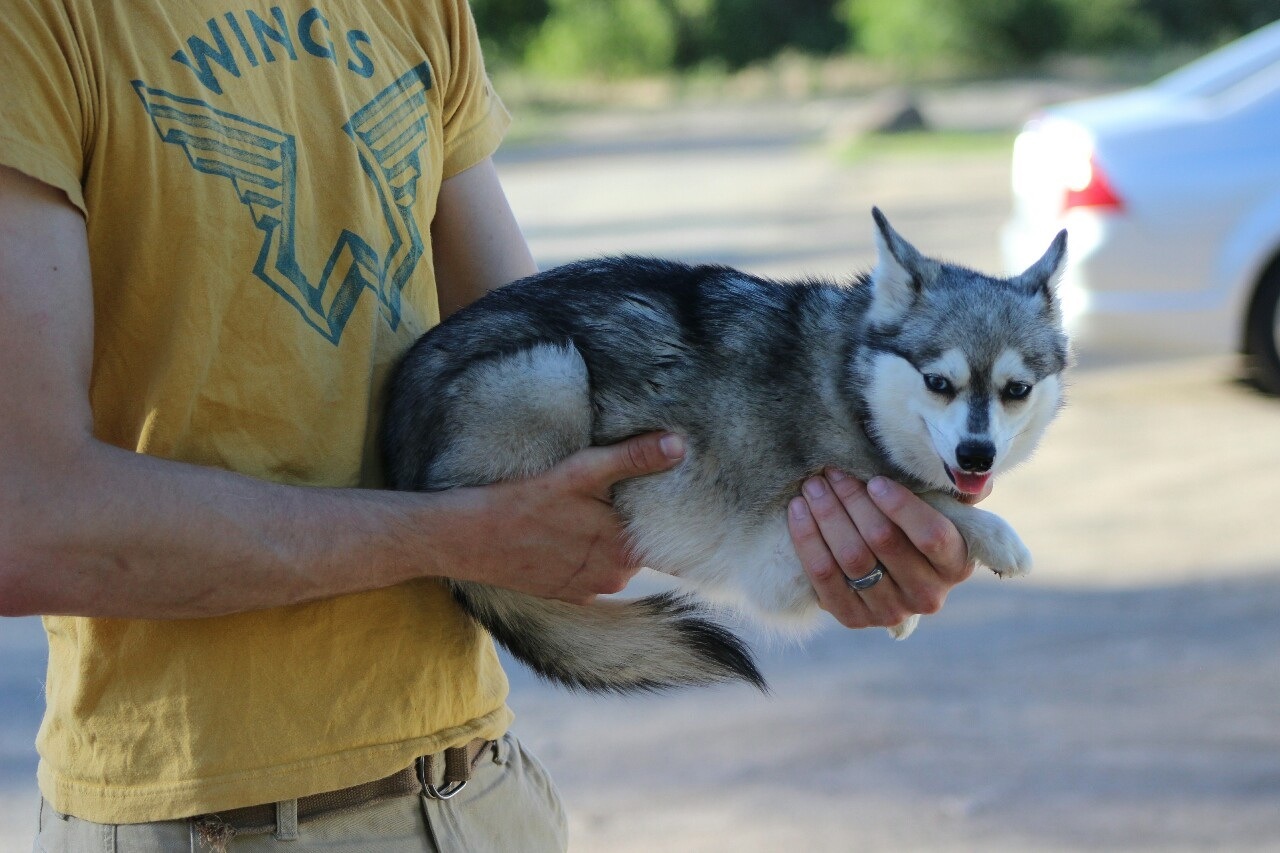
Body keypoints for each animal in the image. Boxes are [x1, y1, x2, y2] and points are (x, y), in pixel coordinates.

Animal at [381, 208, 1070, 696]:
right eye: (938, 383)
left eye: (1016, 391)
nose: (978, 456)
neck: (852, 385)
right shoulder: (777, 557)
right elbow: (918, 496)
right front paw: (993, 534)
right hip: (550, 372)